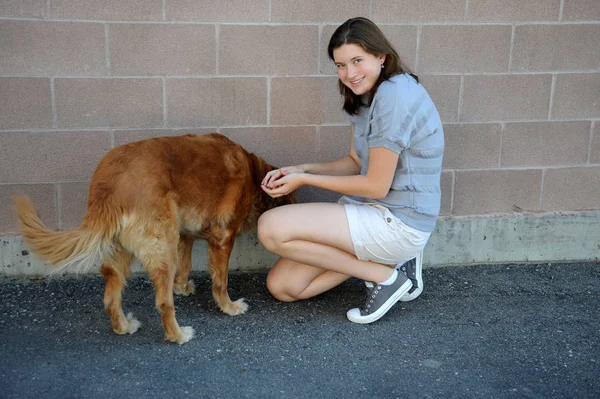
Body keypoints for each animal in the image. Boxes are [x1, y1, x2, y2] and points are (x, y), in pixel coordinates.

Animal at [12, 134, 294, 344]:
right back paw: (178, 335)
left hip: (125, 251)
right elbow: (220, 281)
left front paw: (182, 287)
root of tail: (109, 187)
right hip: (161, 247)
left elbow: (186, 263)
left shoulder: (184, 235)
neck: (253, 173)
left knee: (110, 297)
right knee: (163, 302)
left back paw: (123, 326)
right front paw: (229, 307)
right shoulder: (222, 237)